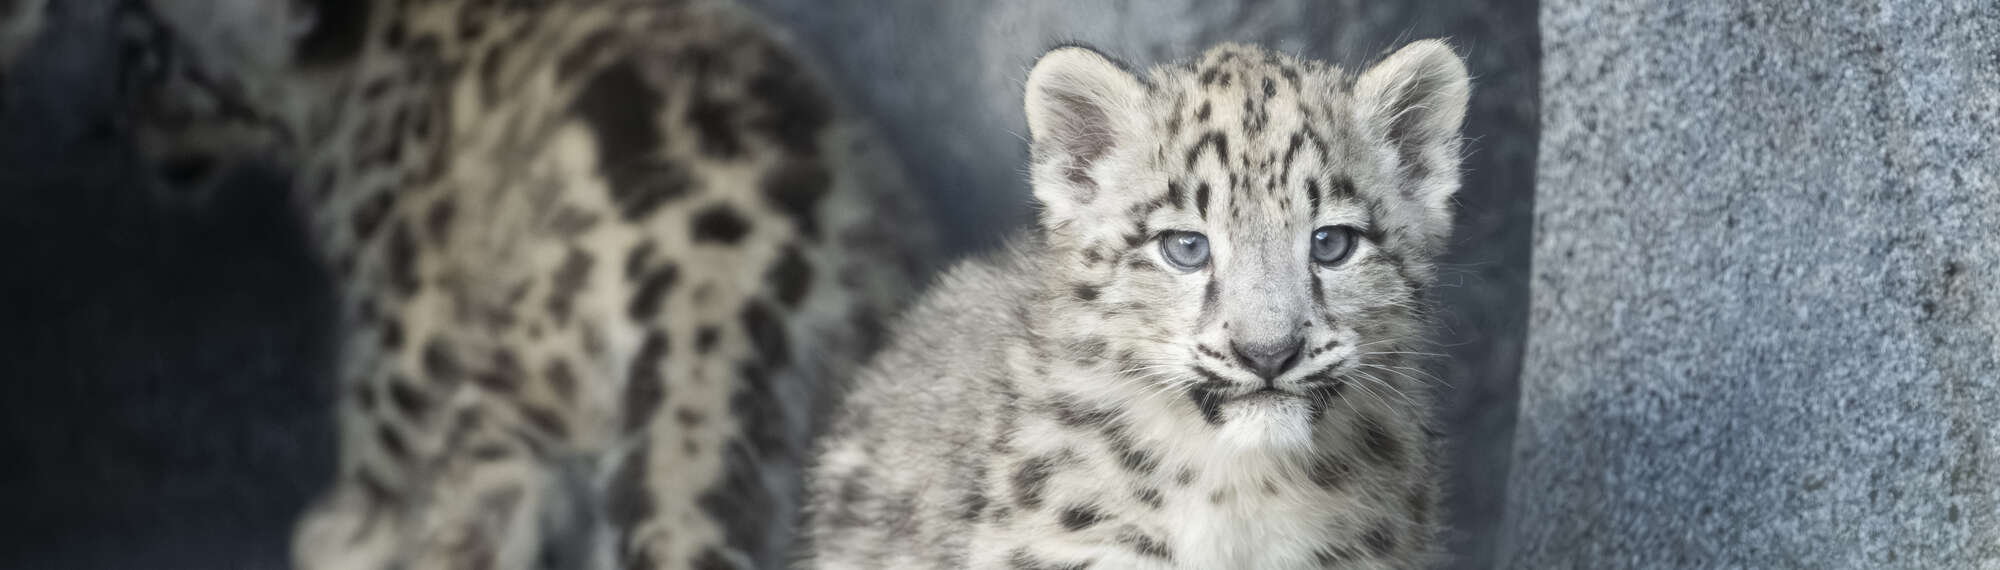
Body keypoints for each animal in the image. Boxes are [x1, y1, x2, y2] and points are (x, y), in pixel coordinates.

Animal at [103, 0, 937, 567]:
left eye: (150, 54)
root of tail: (722, 285)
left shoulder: (401, 297)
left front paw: (343, 531)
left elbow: (378, 421)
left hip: (517, 393)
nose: (129, 125)